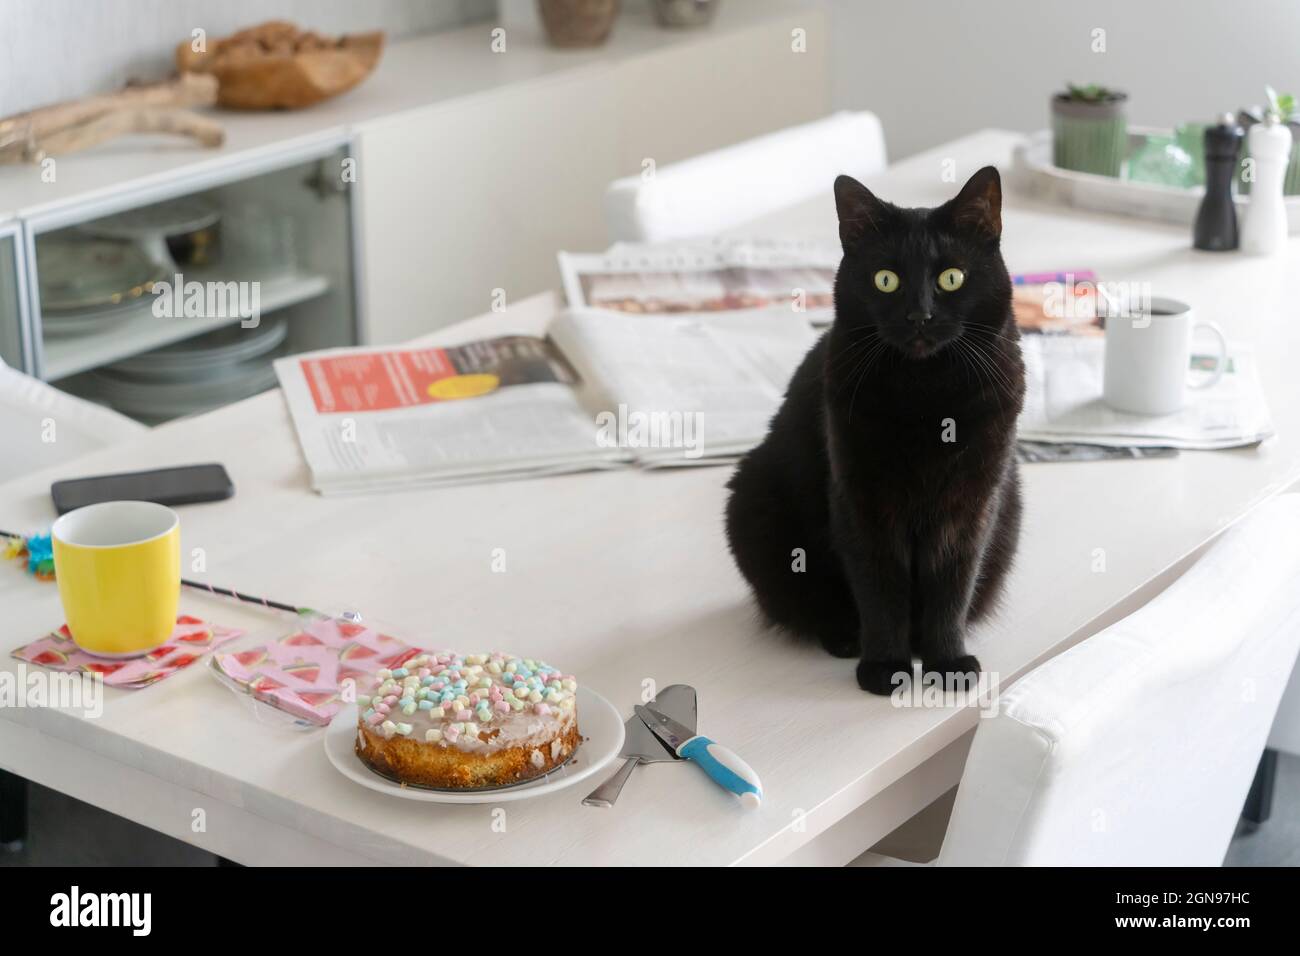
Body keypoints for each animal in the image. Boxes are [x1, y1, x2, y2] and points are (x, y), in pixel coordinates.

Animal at [728, 166, 1019, 697]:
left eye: (951, 277)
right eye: (886, 280)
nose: (920, 316)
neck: (927, 394)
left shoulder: (970, 506)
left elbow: (952, 587)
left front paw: (947, 662)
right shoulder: (862, 501)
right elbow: (880, 589)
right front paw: (885, 668)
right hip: (753, 504)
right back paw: (846, 637)